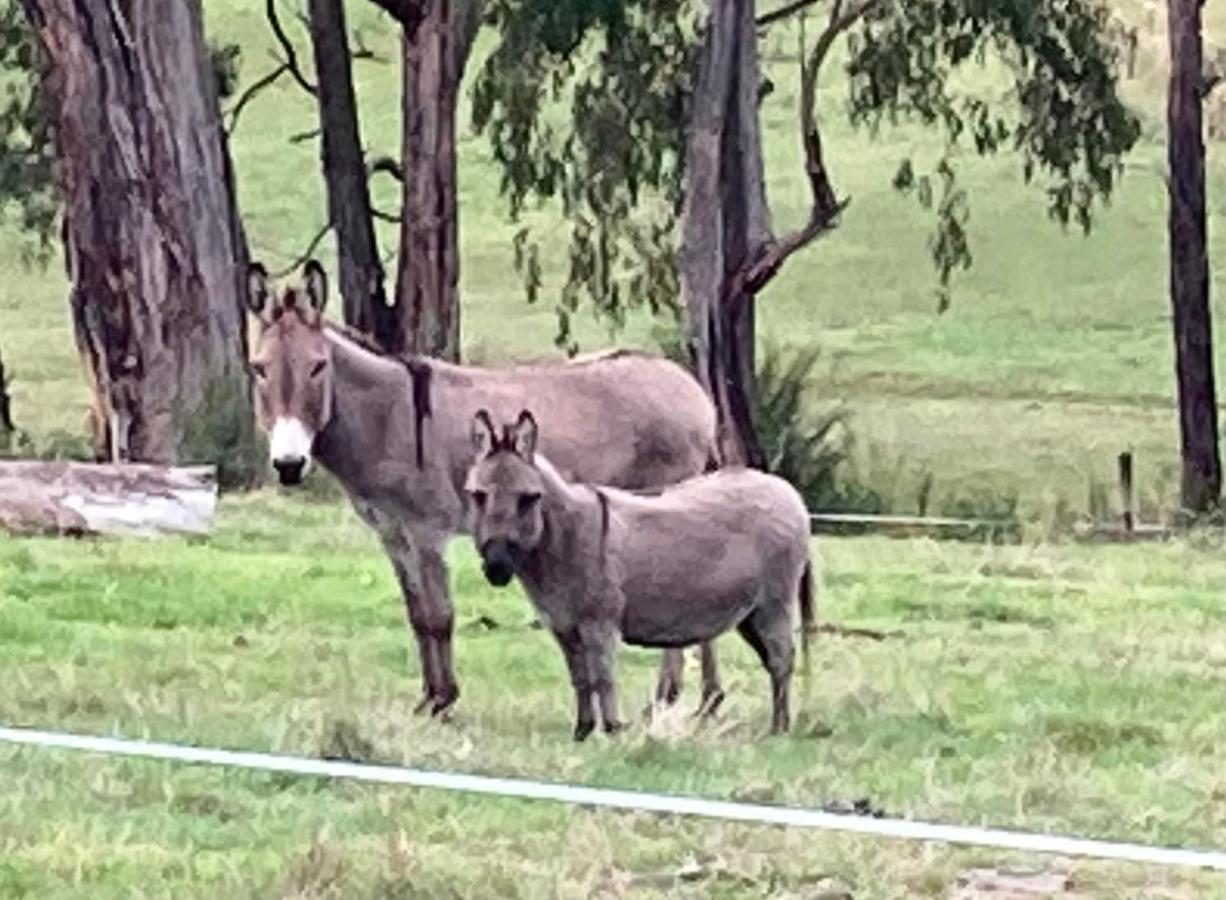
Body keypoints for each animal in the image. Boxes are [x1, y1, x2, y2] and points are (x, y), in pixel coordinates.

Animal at [465, 409, 814, 740]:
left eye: (529, 498)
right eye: (478, 496)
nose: (496, 567)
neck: (562, 540)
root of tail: (786, 490)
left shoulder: (600, 624)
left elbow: (603, 678)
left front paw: (612, 732)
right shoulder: (563, 628)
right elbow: (579, 679)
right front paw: (581, 733)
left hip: (773, 604)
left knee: (782, 658)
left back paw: (778, 730)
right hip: (748, 614)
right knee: (773, 659)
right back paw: (778, 725)